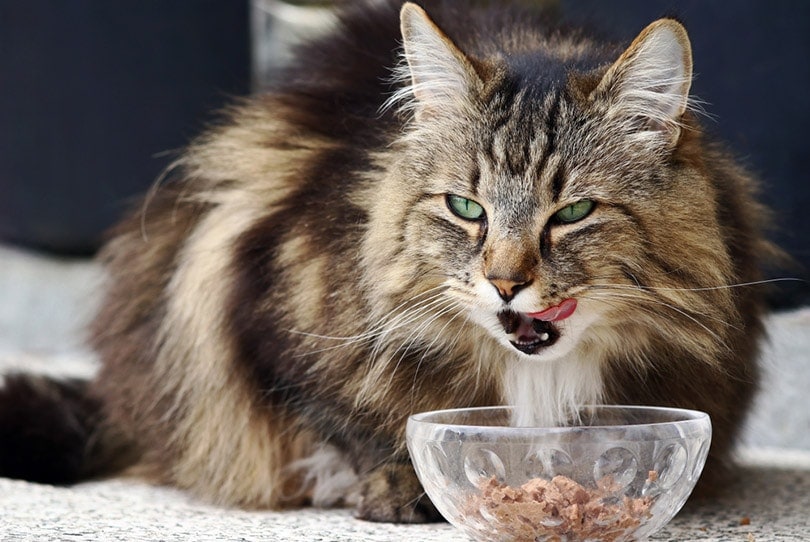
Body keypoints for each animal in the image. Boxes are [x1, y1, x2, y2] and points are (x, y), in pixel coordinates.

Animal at [0, 0, 772, 524]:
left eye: (573, 212)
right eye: (465, 208)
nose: (505, 283)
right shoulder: (258, 309)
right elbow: (351, 421)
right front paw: (400, 488)